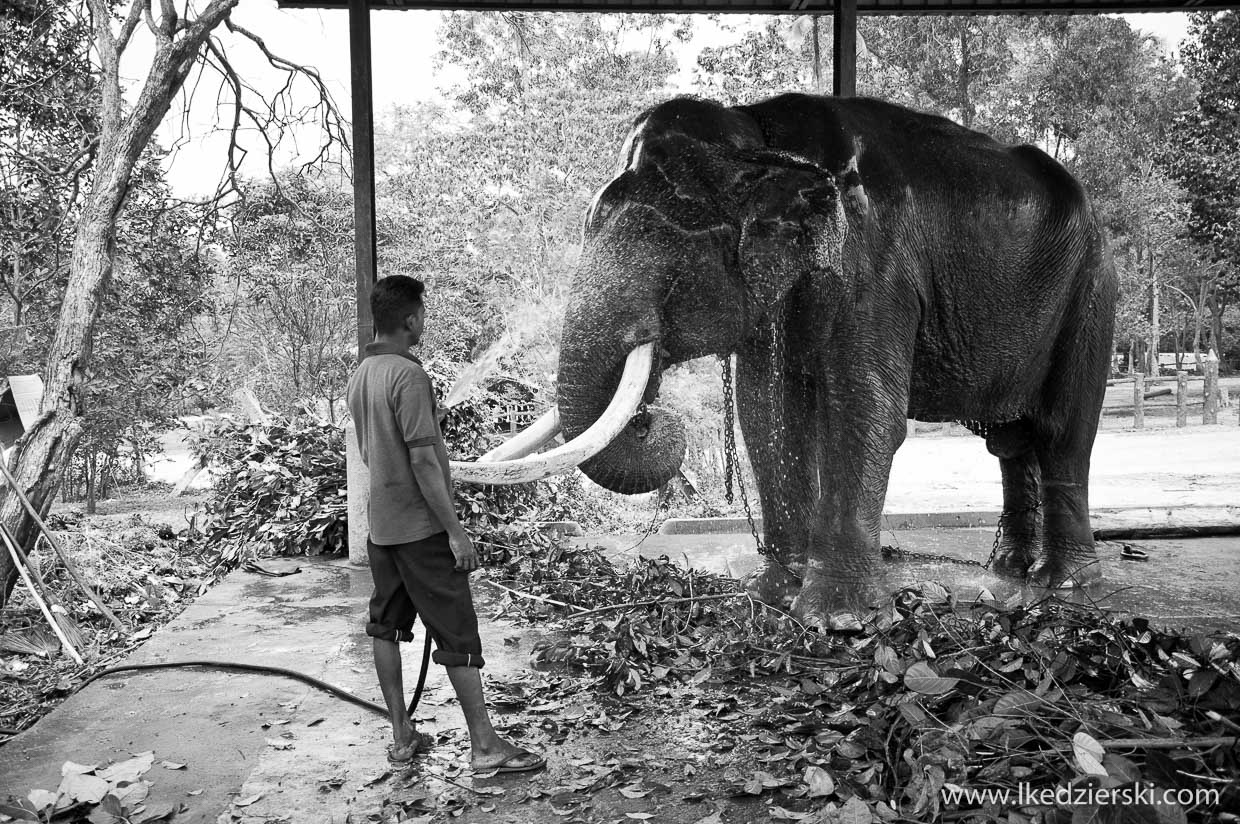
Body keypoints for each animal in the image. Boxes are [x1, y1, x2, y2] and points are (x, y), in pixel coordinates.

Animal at [461, 92, 1120, 626]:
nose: (652, 418)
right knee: (1009, 441)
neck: (757, 137)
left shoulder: (874, 269)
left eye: (671, 245)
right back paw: (1008, 568)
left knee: (1062, 433)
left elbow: (866, 410)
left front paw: (838, 621)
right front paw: (773, 596)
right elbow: (766, 412)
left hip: (1092, 294)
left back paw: (1066, 583)